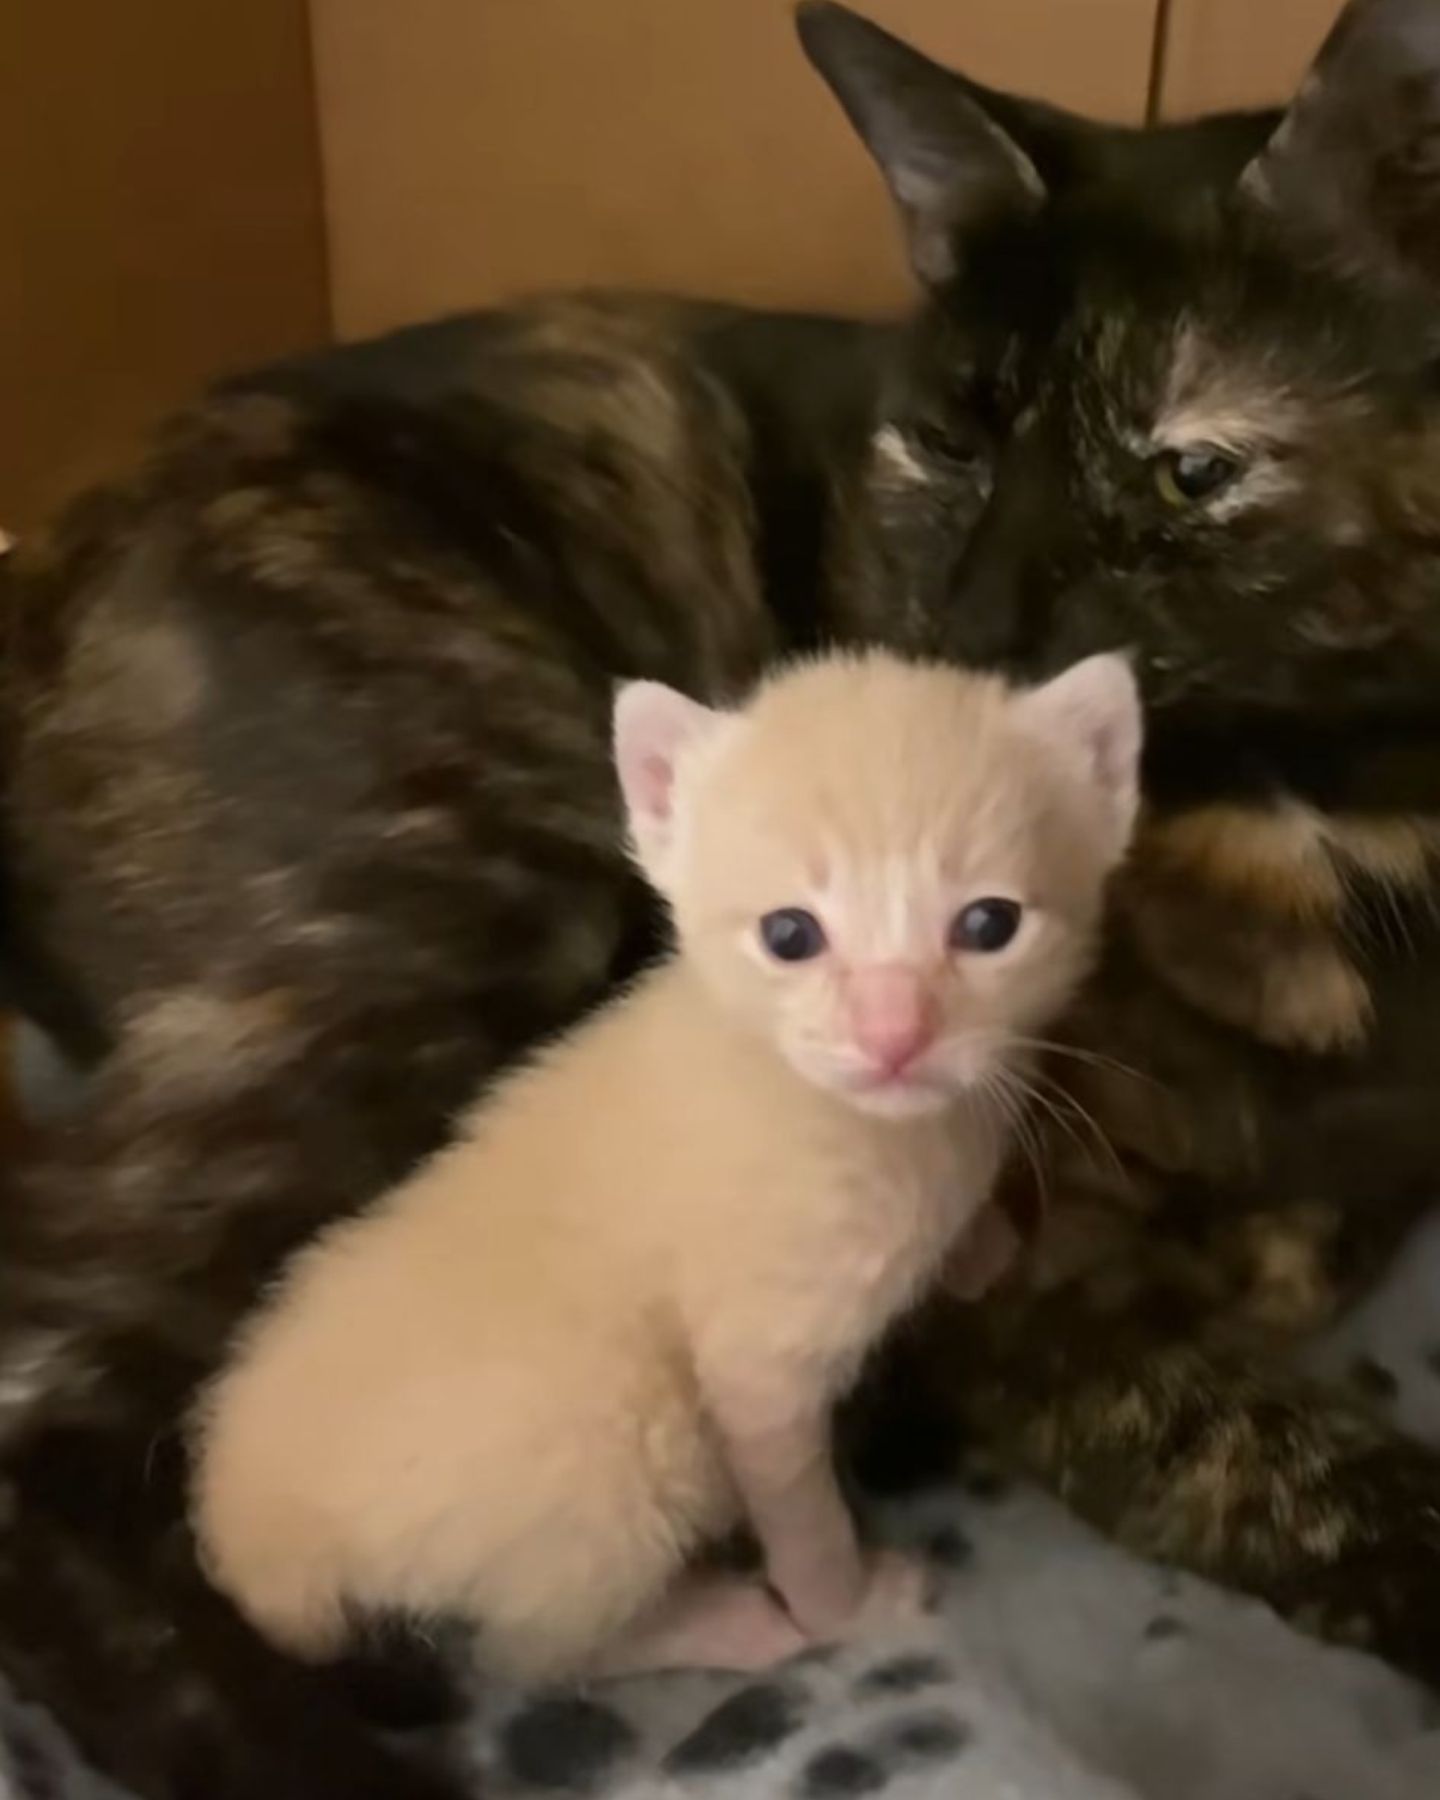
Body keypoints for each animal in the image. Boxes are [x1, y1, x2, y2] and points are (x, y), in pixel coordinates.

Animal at [190, 651, 1144, 1684]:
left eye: (989, 922)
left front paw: (981, 1248)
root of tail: (257, 1514)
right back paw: (729, 1627)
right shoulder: (757, 1360)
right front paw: (843, 1608)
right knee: (538, 1650)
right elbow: (800, 1510)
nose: (894, 1037)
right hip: (612, 1456)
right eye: (790, 935)